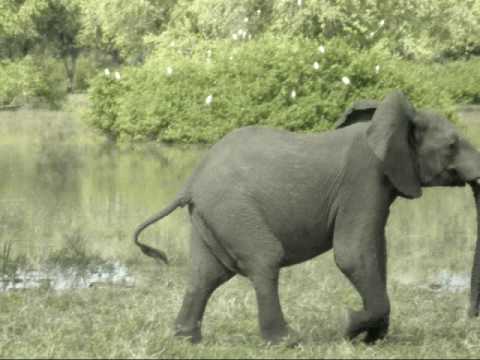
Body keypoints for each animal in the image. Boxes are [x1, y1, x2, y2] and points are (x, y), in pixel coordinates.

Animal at [133, 89, 480, 344]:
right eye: (452, 145)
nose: (470, 318)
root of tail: (190, 182)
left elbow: (376, 253)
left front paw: (373, 337)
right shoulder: (363, 180)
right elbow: (353, 254)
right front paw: (349, 325)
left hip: (211, 217)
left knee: (206, 274)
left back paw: (186, 339)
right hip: (233, 209)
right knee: (264, 259)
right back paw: (286, 341)